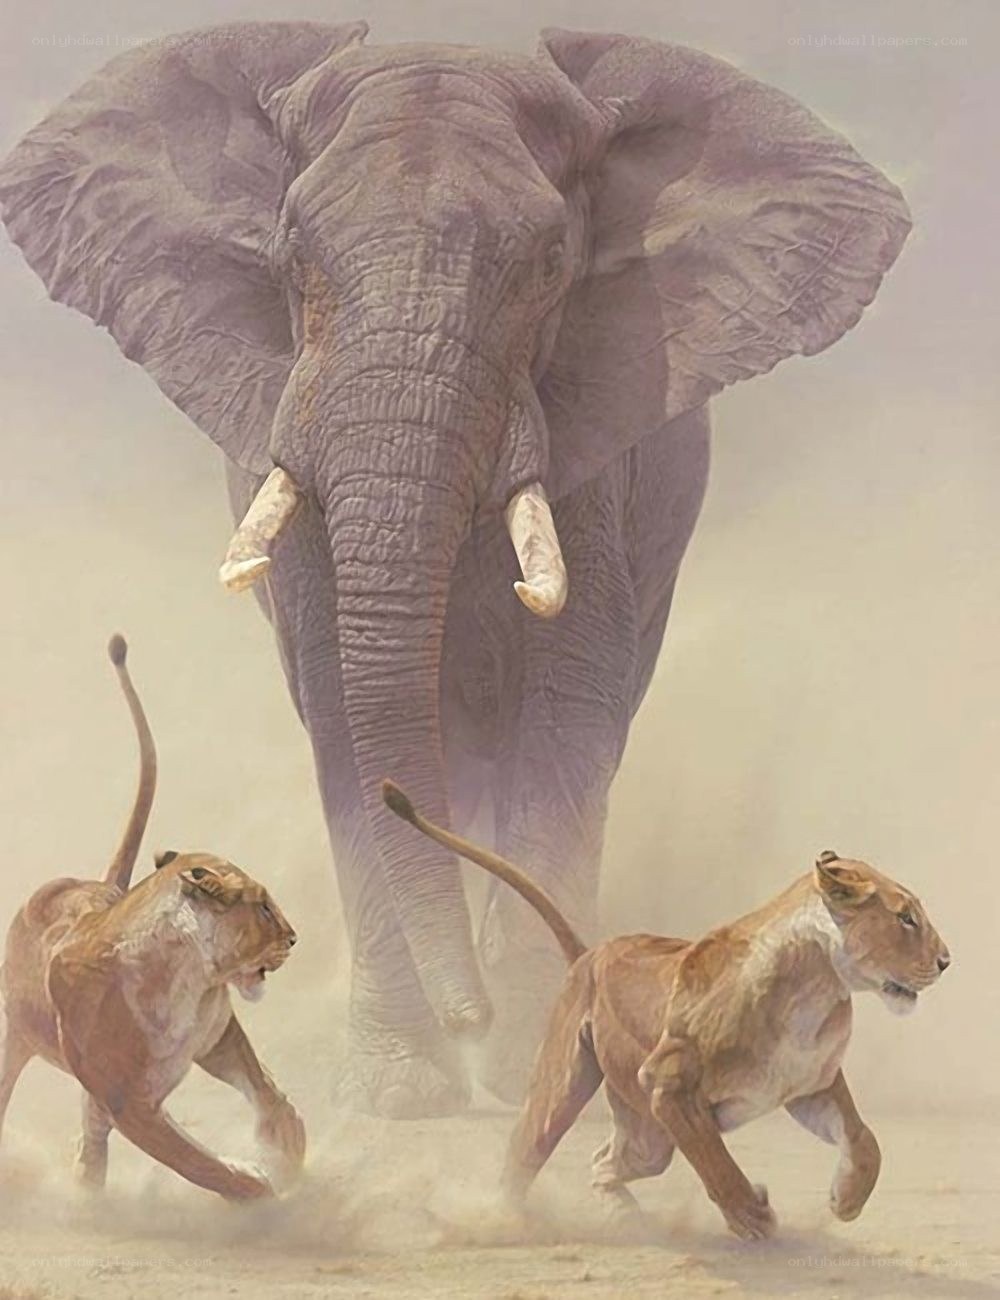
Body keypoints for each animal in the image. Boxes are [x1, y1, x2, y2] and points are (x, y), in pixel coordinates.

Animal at [0, 22, 910, 1117]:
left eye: (551, 264)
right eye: (291, 258)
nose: (467, 1017)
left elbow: (566, 718)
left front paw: (525, 1069)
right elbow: (342, 717)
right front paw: (401, 1092)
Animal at [0, 635, 304, 1201]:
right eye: (264, 907)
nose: (294, 939)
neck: (191, 981)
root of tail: (87, 886)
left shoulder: (217, 1038)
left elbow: (262, 1085)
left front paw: (287, 1143)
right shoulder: (130, 1105)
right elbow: (196, 1162)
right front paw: (260, 1186)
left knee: (91, 1132)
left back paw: (88, 1187)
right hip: (18, 1036)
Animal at [383, 780, 950, 1241]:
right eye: (906, 918)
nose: (947, 961)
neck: (818, 989)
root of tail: (592, 952)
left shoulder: (809, 1086)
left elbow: (864, 1138)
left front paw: (846, 1199)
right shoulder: (668, 1082)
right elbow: (716, 1161)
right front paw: (751, 1214)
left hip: (648, 1142)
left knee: (603, 1161)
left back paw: (626, 1217)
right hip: (567, 1091)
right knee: (522, 1155)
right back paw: (497, 1220)